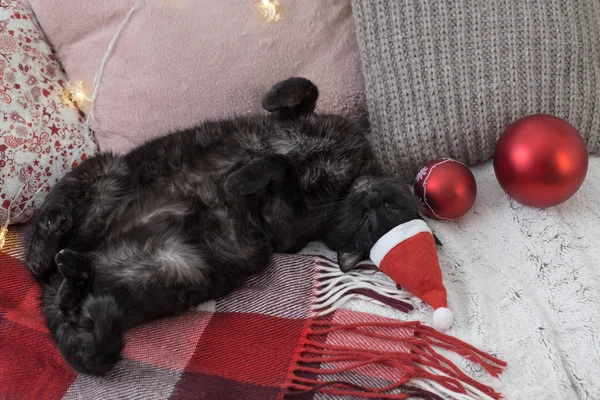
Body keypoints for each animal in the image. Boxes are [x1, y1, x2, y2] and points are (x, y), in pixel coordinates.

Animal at [24, 77, 422, 376]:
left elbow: (279, 164)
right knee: (48, 251)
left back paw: (73, 270)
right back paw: (53, 236)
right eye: (388, 206)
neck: (349, 176)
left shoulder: (285, 225)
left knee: (63, 289)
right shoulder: (291, 127)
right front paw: (274, 96)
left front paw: (237, 181)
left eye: (377, 215)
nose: (370, 198)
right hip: (108, 168)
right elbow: (305, 91)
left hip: (173, 266)